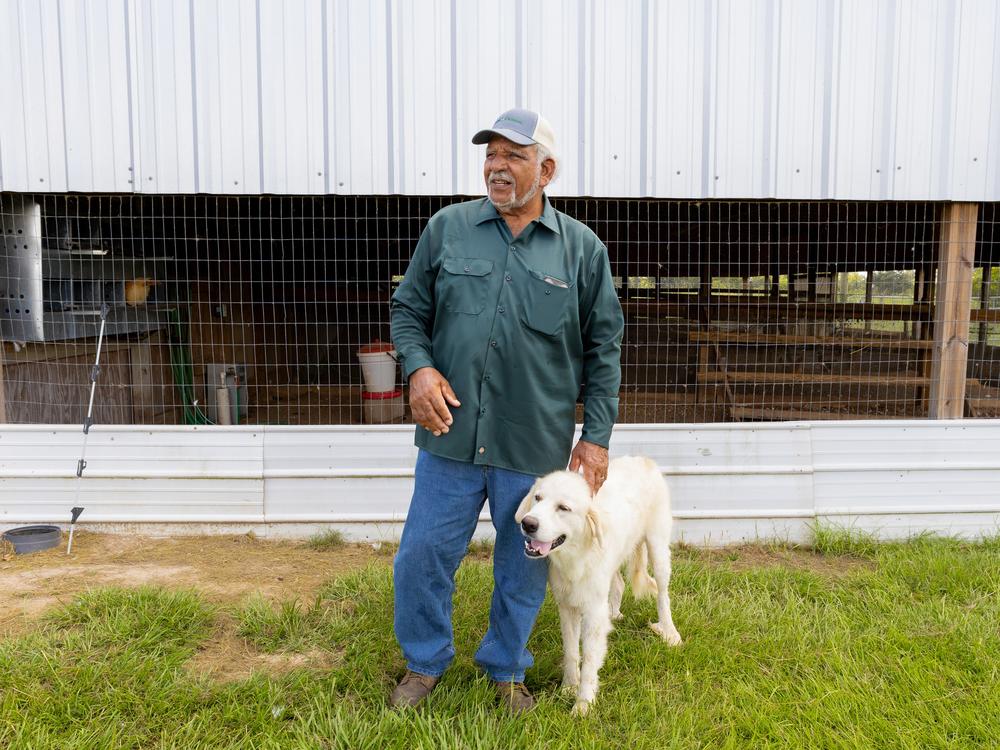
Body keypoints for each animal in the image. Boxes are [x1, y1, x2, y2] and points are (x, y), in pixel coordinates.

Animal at [516, 456, 680, 712]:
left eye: (563, 508)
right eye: (538, 498)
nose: (528, 523)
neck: (576, 556)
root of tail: (642, 458)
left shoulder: (592, 611)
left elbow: (590, 659)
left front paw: (583, 705)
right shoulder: (567, 607)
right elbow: (571, 652)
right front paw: (568, 688)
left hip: (658, 549)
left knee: (663, 594)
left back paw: (670, 632)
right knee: (619, 584)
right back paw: (613, 615)